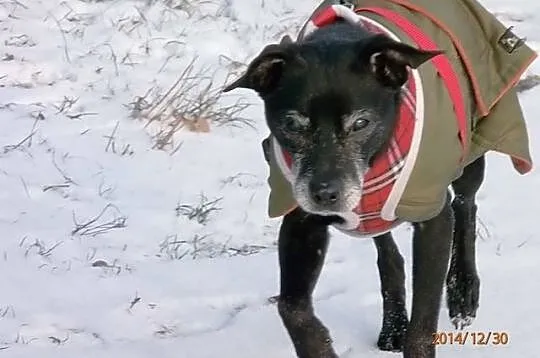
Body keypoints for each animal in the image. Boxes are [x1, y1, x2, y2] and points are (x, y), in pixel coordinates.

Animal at [223, 18, 486, 358]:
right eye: (292, 124)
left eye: (361, 123)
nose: (324, 194)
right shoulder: (301, 221)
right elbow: (291, 307)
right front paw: (321, 348)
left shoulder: (432, 218)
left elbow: (424, 319)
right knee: (387, 249)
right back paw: (393, 325)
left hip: (470, 149)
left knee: (465, 203)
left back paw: (463, 291)